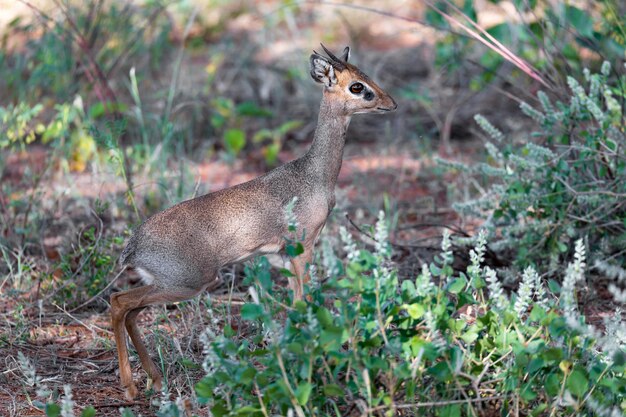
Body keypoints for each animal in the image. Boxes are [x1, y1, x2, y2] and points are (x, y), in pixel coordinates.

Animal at [111, 44, 394, 398]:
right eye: (357, 86)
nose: (390, 103)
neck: (314, 175)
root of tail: (133, 245)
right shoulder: (303, 248)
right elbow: (303, 303)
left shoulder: (282, 258)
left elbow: (295, 305)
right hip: (188, 283)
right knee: (118, 303)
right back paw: (130, 386)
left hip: (166, 285)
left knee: (129, 312)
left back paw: (155, 379)